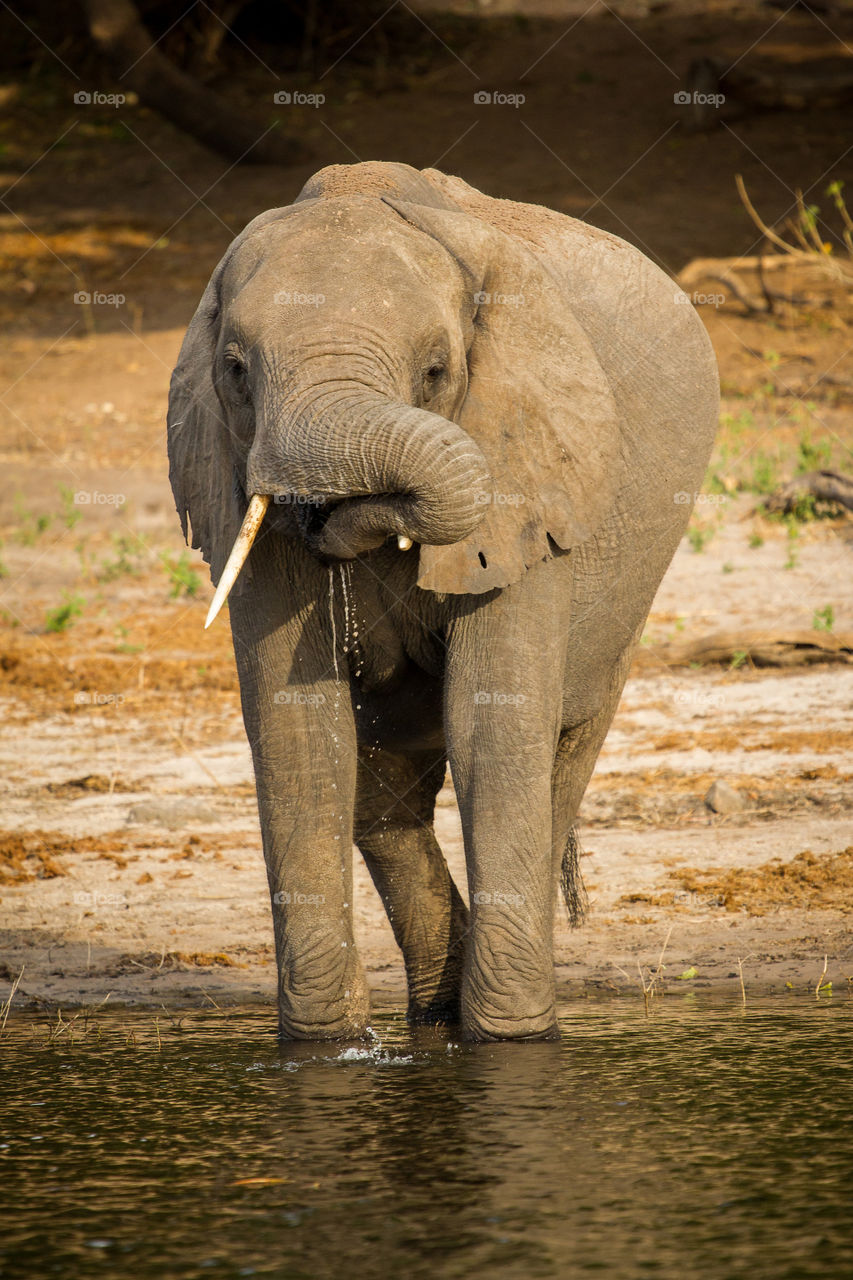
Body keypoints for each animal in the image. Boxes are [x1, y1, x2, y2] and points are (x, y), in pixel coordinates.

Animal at [167, 160, 717, 1039]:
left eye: (434, 370)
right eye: (236, 370)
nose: (342, 511)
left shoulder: (526, 472)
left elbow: (489, 723)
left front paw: (513, 1041)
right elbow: (299, 726)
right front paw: (321, 1048)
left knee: (559, 752)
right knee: (381, 786)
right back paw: (432, 1012)